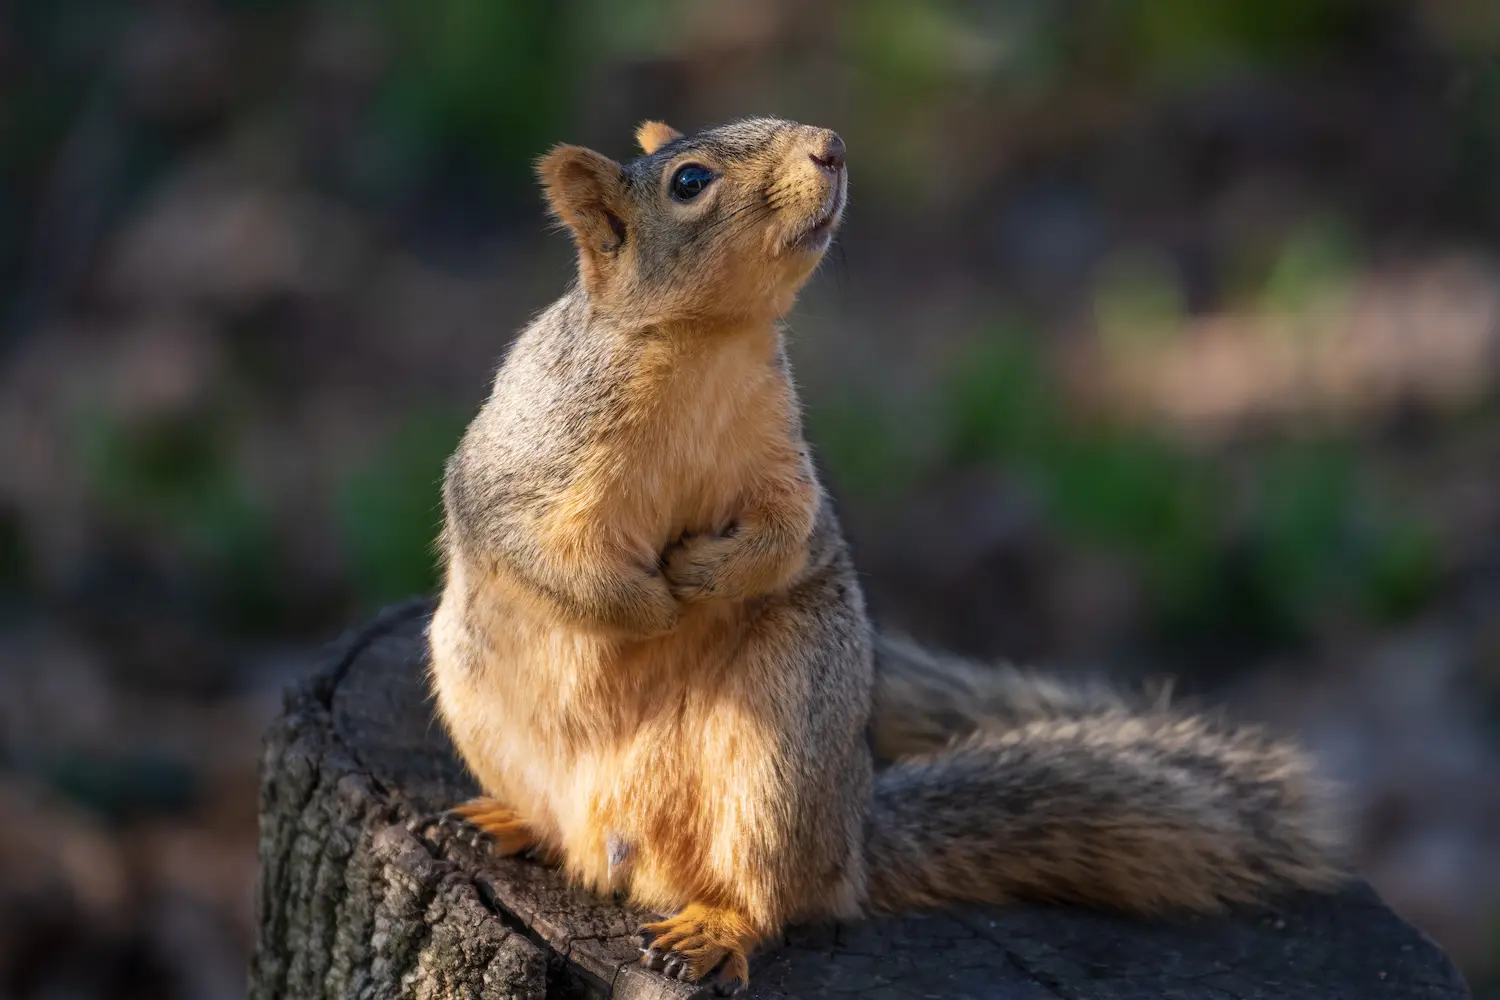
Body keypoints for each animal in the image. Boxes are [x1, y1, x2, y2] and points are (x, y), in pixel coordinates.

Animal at [424, 117, 1346, 994]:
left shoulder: (785, 471)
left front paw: (701, 577)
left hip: (783, 742)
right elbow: (534, 552)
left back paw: (713, 928)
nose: (829, 146)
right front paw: (649, 607)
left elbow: (785, 540)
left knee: (767, 896)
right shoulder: (523, 463)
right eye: (689, 182)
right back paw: (511, 822)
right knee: (565, 825)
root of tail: (852, 843)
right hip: (476, 694)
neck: (704, 346)